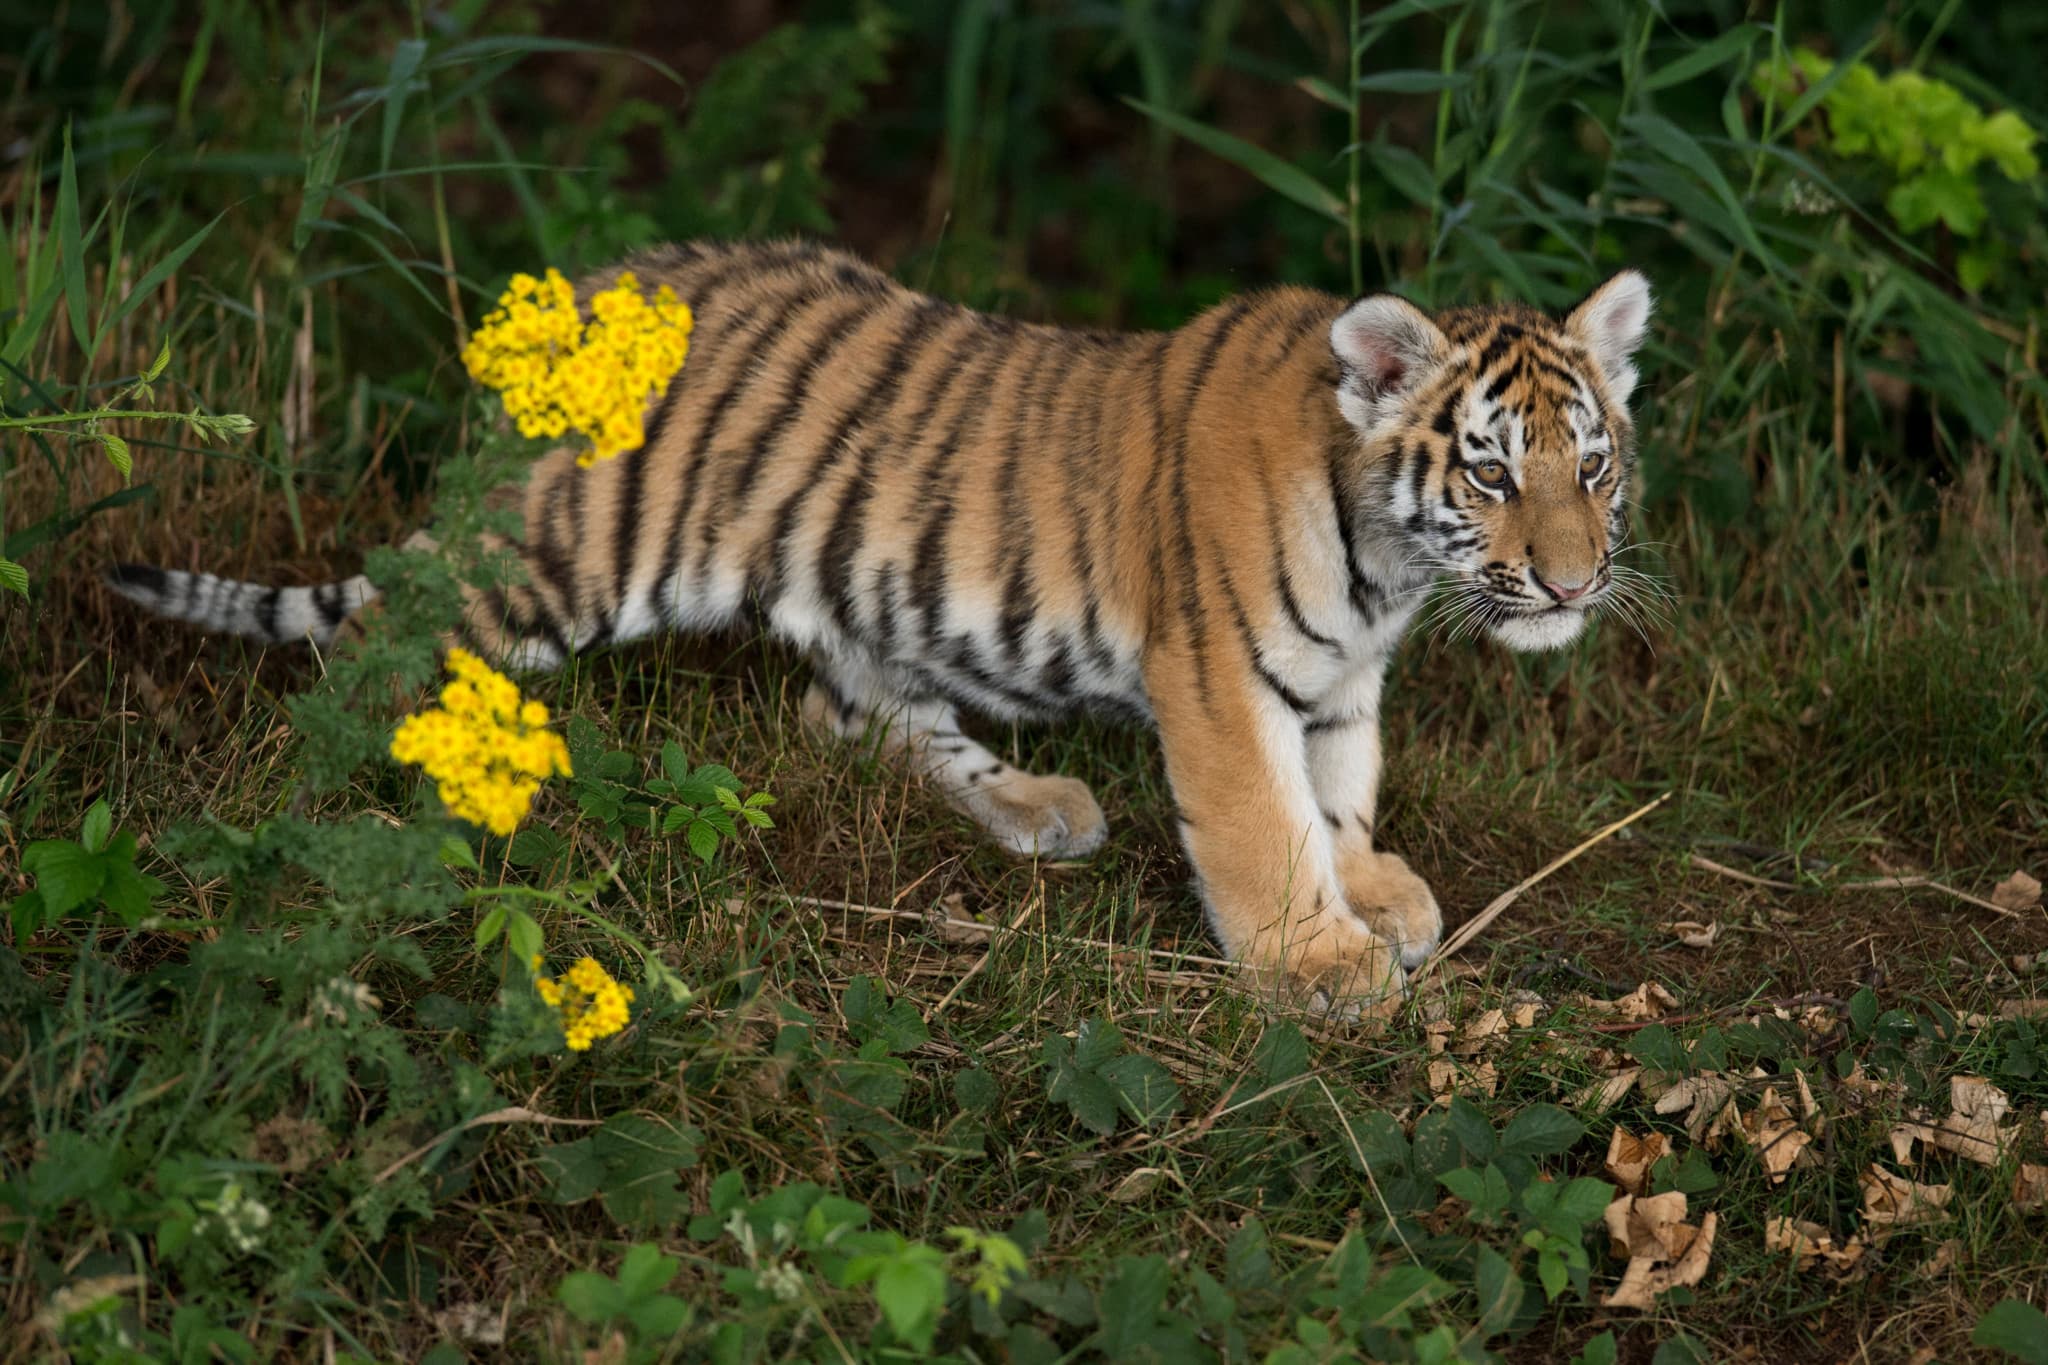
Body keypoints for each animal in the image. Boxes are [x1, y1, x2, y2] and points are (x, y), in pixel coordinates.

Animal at [107, 239, 1652, 1006]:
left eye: (1592, 465)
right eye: (1490, 471)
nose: (1574, 585)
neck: (1388, 558)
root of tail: (580, 297)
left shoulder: (1336, 680)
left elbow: (1339, 790)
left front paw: (1371, 890)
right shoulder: (1221, 679)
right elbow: (1267, 830)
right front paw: (1316, 964)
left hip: (870, 600)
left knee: (838, 716)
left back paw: (1034, 807)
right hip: (558, 564)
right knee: (378, 653)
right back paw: (364, 788)